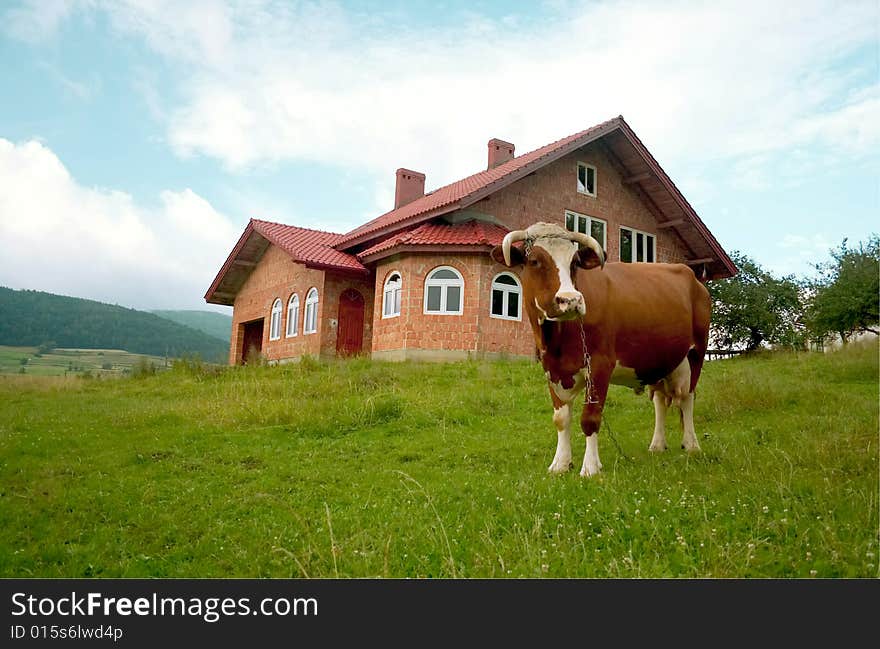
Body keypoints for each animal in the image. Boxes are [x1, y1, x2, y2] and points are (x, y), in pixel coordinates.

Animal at [492, 223, 712, 476]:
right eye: (534, 261)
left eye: (574, 262)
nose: (571, 300)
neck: (557, 340)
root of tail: (693, 278)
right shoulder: (552, 369)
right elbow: (561, 418)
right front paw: (560, 464)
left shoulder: (599, 365)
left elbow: (590, 418)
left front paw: (590, 467)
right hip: (659, 361)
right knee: (659, 400)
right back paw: (657, 445)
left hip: (696, 353)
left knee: (687, 398)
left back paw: (692, 445)